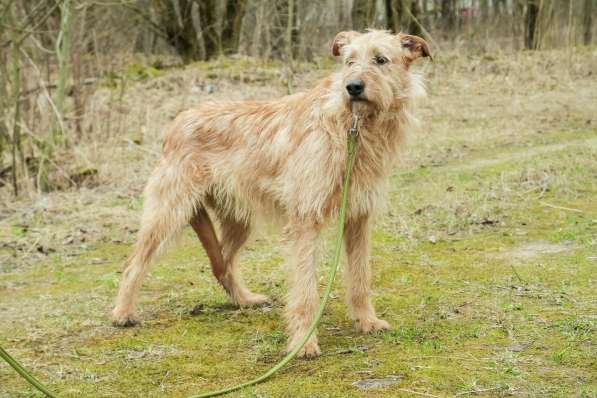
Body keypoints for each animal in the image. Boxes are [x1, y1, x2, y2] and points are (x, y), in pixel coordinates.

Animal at [112, 28, 428, 358]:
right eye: (349, 61)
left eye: (381, 60)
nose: (352, 87)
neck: (352, 126)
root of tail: (176, 123)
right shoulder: (305, 222)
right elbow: (306, 290)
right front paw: (303, 342)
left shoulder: (357, 220)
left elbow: (360, 277)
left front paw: (367, 321)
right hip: (168, 213)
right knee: (134, 264)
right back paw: (123, 312)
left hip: (239, 220)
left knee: (222, 265)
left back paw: (244, 300)